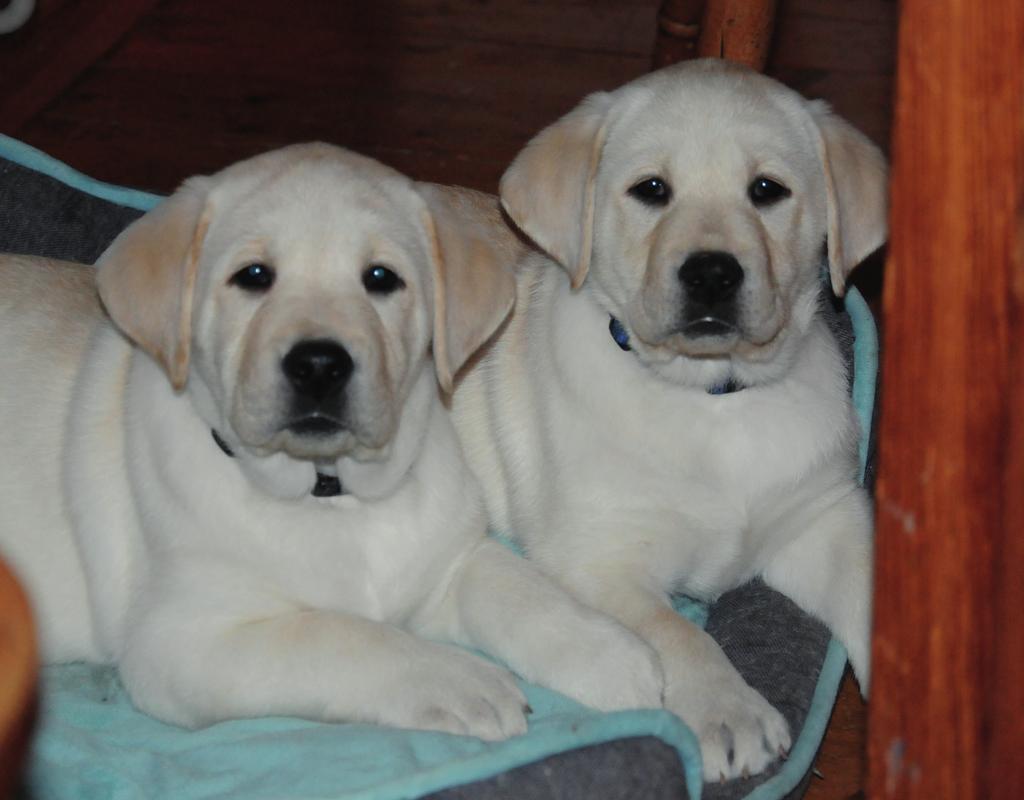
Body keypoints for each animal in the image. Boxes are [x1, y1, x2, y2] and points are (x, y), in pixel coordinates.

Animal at [0, 142, 663, 737]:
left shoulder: (451, 559)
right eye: (253, 277)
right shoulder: (181, 644)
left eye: (381, 278)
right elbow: (340, 632)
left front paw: (617, 657)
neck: (334, 494)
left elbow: (525, 592)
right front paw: (466, 683)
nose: (319, 365)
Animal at [452, 59, 884, 778]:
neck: (712, 399)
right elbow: (677, 631)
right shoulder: (595, 557)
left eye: (767, 190)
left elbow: (873, 595)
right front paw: (728, 710)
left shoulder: (825, 516)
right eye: (651, 190)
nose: (711, 273)